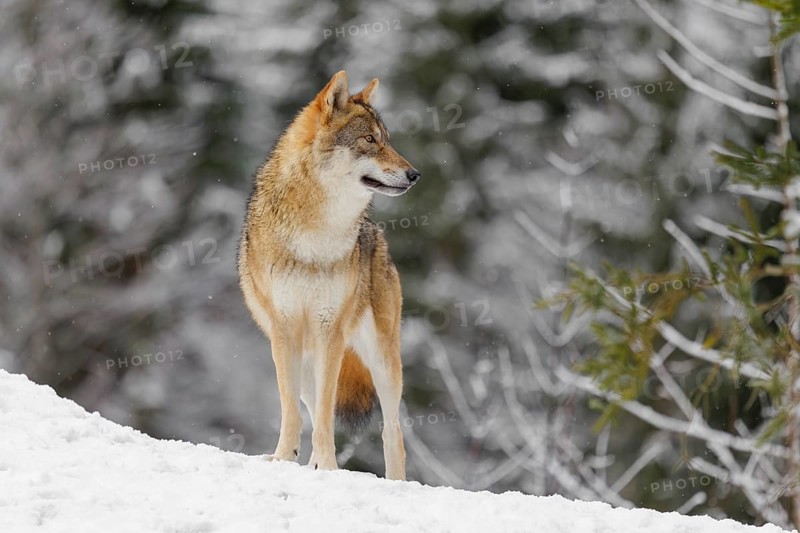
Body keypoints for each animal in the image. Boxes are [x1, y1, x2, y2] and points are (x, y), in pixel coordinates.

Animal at [238, 71, 420, 480]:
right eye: (369, 140)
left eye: (387, 139)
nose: (414, 174)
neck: (315, 232)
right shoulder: (284, 330)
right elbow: (291, 410)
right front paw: (284, 459)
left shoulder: (329, 329)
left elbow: (324, 415)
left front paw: (328, 466)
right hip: (305, 361)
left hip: (382, 361)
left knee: (393, 433)